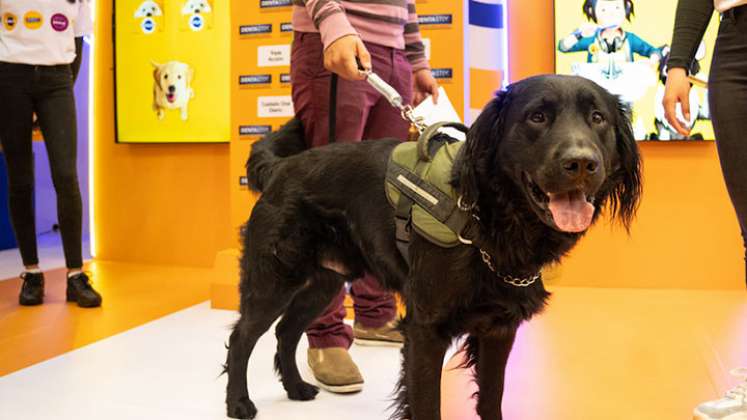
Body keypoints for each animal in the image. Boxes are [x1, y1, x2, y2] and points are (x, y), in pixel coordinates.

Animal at [224, 75, 644, 420]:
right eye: (537, 117)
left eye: (597, 118)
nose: (581, 163)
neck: (486, 219)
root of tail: (282, 168)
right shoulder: (426, 329)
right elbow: (427, 404)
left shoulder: (499, 328)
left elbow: (491, 397)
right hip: (274, 279)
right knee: (242, 337)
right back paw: (238, 403)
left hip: (324, 281)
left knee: (286, 331)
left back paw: (296, 387)